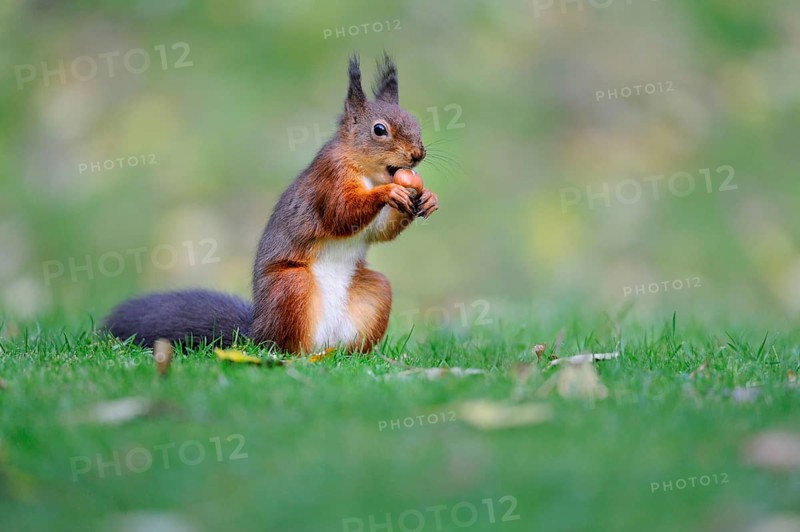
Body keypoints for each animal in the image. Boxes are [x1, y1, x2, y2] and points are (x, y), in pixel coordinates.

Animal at [104, 55, 438, 354]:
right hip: (291, 286)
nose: (418, 154)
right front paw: (389, 193)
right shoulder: (329, 179)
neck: (368, 173)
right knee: (284, 345)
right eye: (379, 130)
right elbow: (340, 213)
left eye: (415, 121)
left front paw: (428, 199)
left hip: (374, 291)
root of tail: (256, 333)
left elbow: (379, 231)